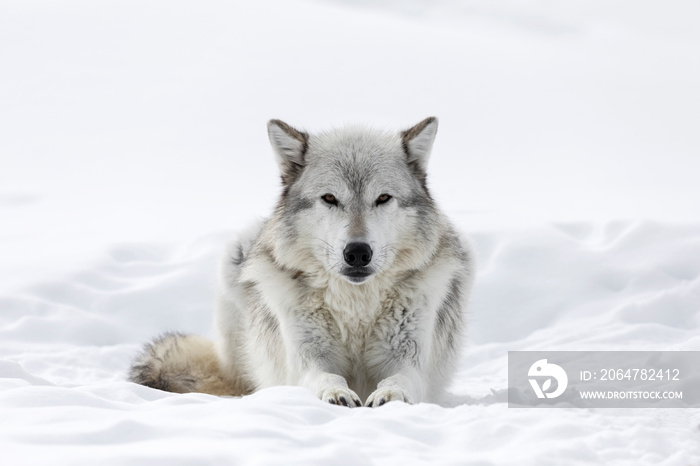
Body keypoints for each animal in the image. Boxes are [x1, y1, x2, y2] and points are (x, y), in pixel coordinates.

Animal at [129, 117, 474, 408]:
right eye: (330, 198)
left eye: (383, 198)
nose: (357, 253)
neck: (355, 307)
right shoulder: (307, 359)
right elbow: (325, 376)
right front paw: (336, 393)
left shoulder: (409, 359)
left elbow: (401, 378)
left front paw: (390, 395)